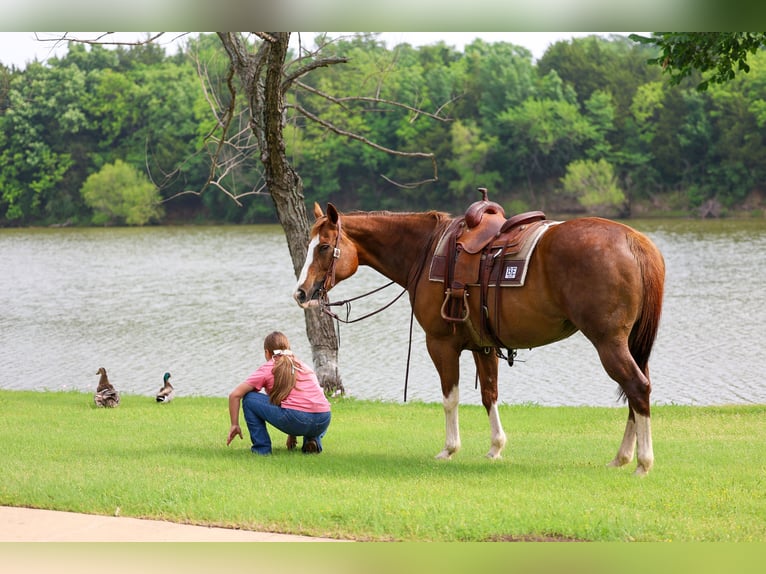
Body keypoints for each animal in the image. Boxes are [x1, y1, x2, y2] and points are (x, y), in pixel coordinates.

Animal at [293, 201, 665, 475]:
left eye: (323, 246)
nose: (300, 292)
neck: (426, 251)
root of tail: (635, 241)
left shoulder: (440, 344)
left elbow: (450, 398)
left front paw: (449, 449)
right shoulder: (483, 345)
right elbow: (490, 394)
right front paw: (495, 447)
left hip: (608, 342)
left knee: (637, 388)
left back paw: (643, 463)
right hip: (629, 343)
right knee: (636, 391)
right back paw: (622, 457)